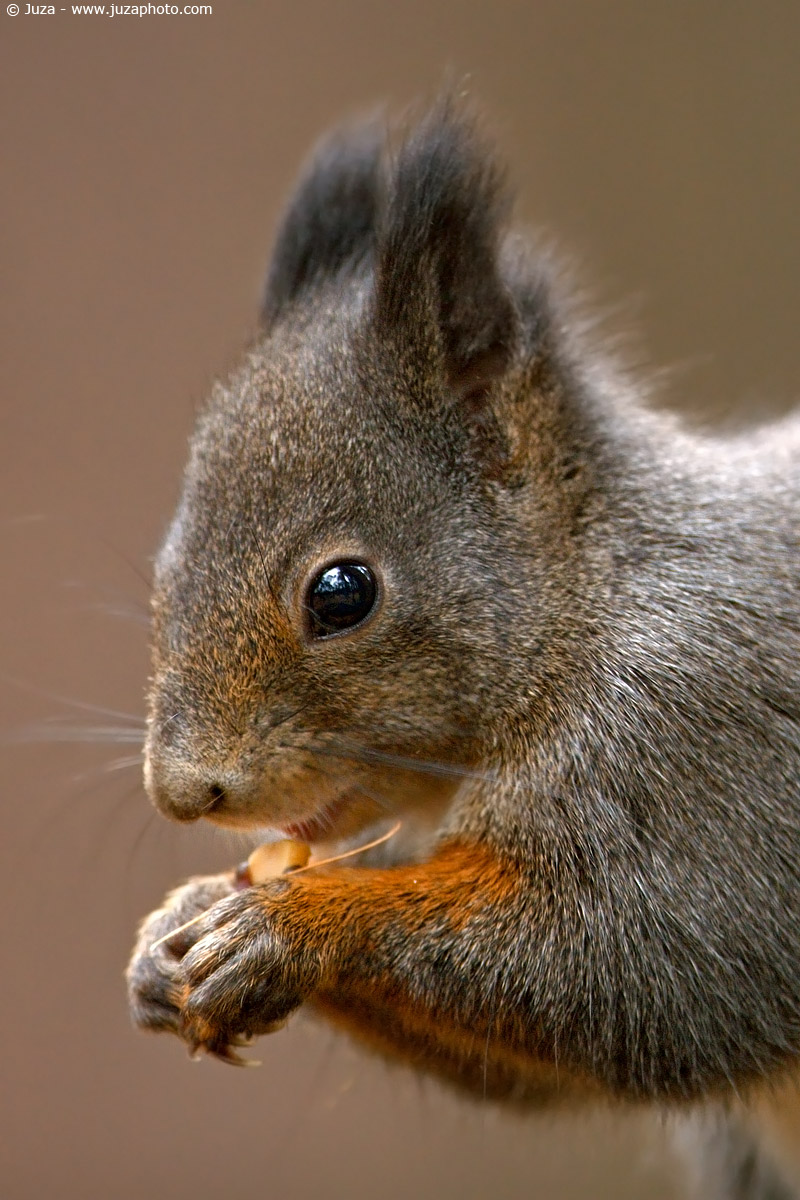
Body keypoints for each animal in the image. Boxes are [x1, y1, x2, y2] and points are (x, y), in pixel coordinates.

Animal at [127, 97, 800, 1177]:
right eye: (165, 559)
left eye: (343, 593)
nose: (186, 793)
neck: (588, 607)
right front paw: (170, 931)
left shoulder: (706, 755)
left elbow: (652, 979)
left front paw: (292, 921)